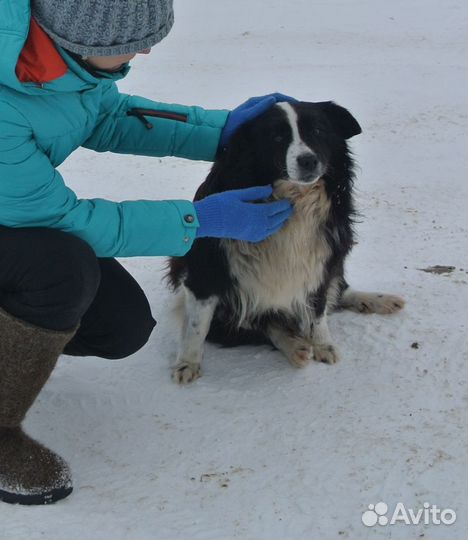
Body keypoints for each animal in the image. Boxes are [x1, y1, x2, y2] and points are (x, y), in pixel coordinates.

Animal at [166, 99, 404, 382]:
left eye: (318, 130)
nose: (308, 161)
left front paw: (323, 344)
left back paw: (376, 300)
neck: (293, 199)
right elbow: (197, 324)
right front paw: (187, 363)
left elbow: (318, 311)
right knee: (261, 324)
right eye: (277, 137)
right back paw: (294, 346)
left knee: (338, 291)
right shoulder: (207, 268)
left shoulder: (320, 259)